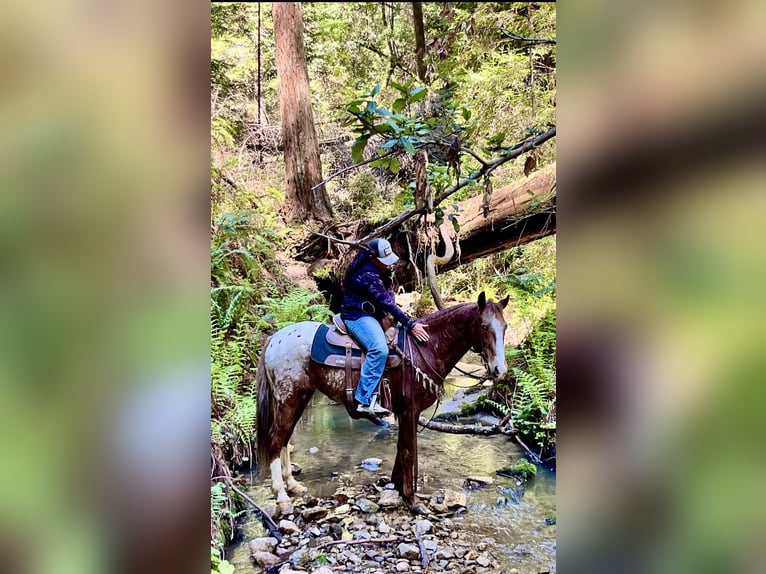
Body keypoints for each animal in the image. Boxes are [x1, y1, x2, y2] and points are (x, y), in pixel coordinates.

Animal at [256, 292, 510, 512]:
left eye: (505, 327)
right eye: (483, 326)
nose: (500, 370)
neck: (425, 348)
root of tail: (274, 338)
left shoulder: (405, 412)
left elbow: (401, 449)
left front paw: (397, 487)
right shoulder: (410, 410)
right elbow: (408, 452)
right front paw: (411, 498)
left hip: (300, 397)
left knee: (285, 439)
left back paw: (293, 485)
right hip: (288, 398)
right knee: (275, 440)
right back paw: (281, 495)